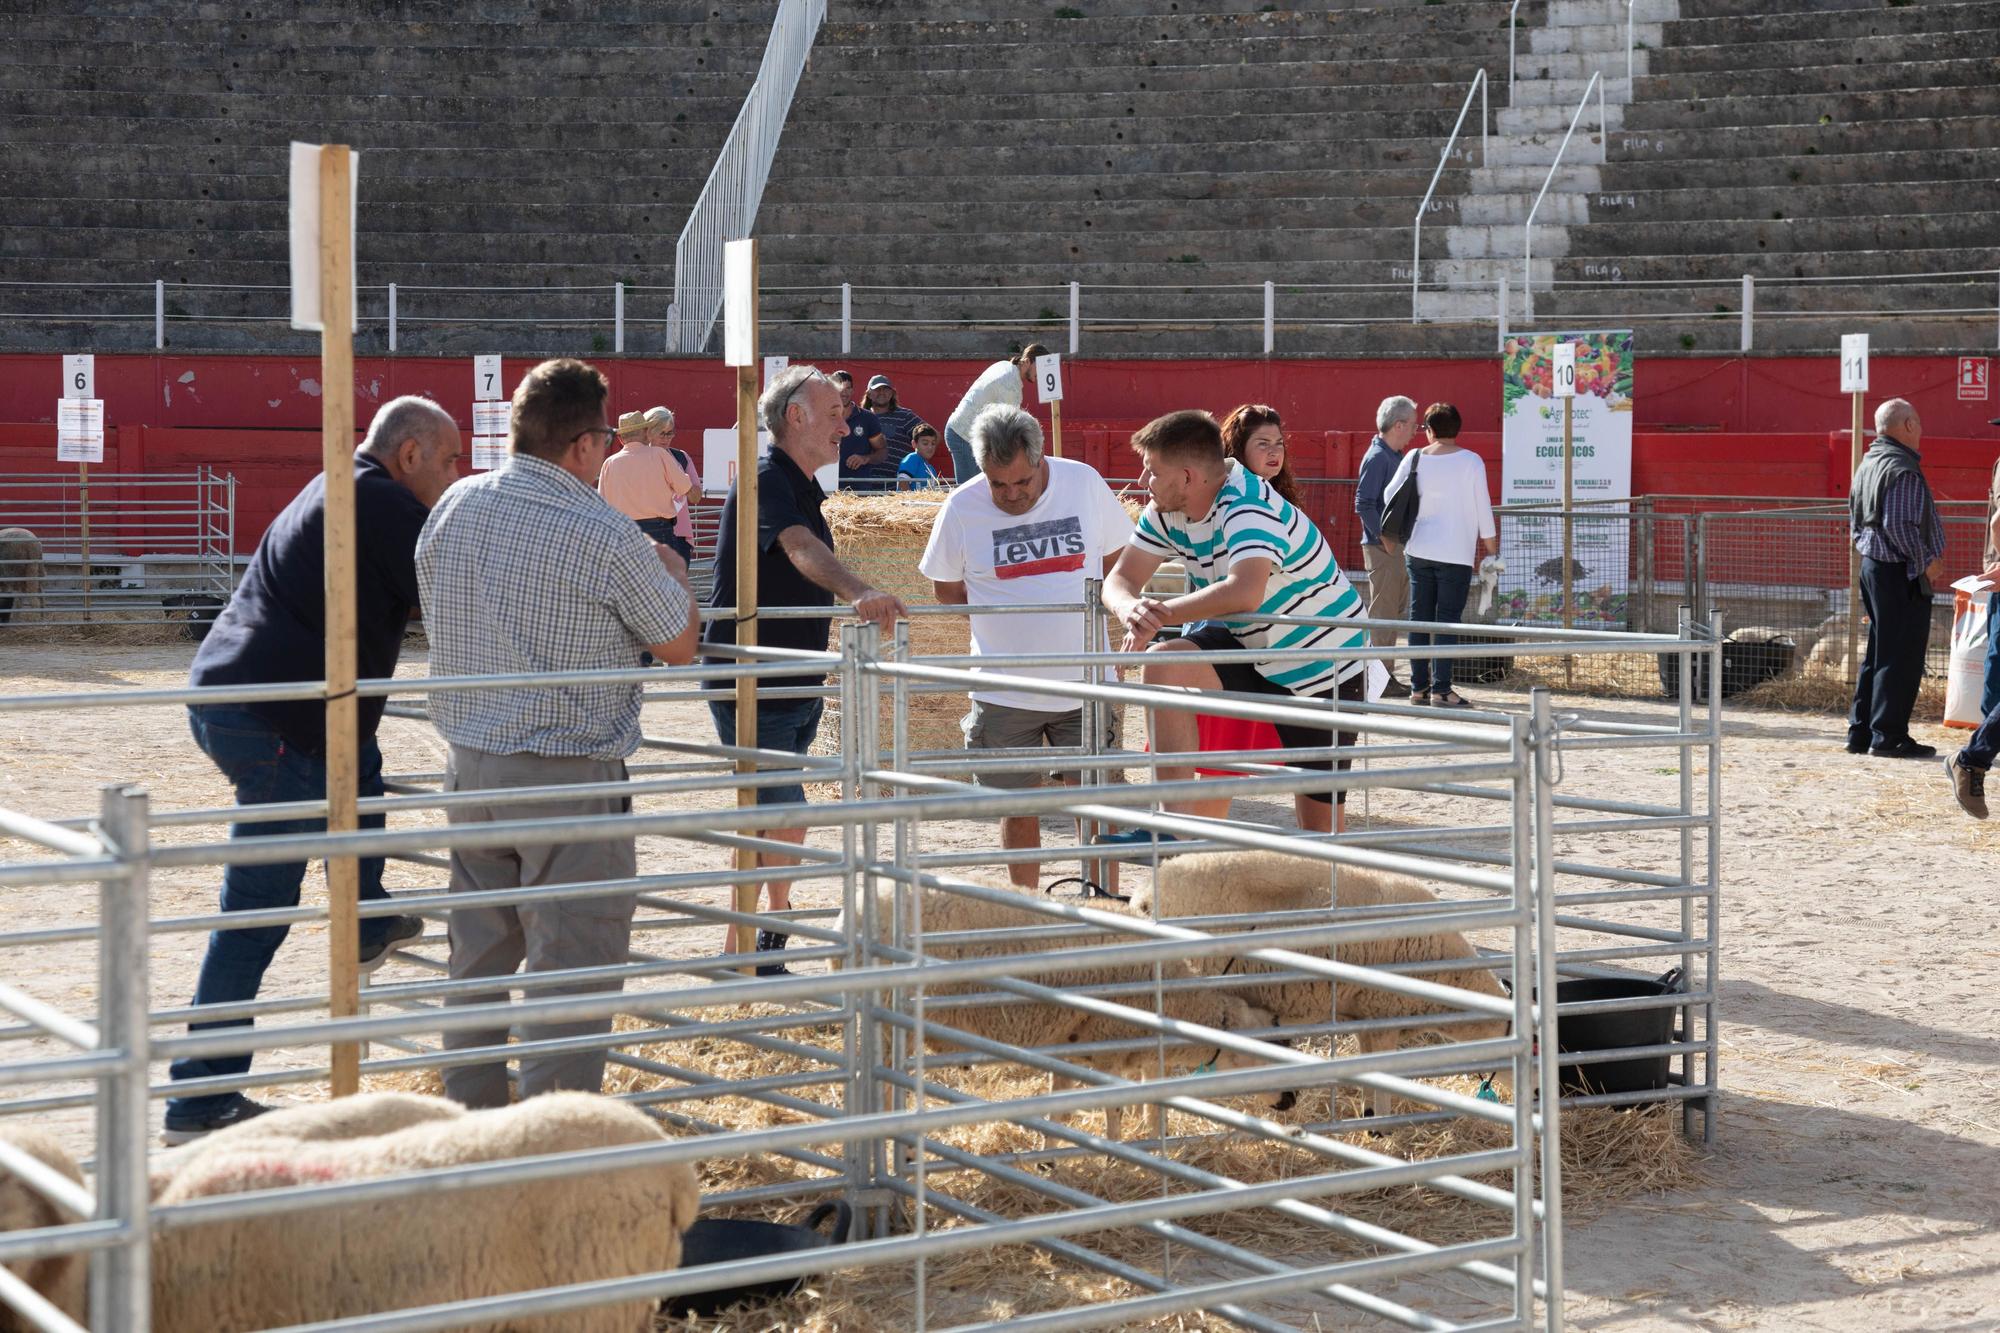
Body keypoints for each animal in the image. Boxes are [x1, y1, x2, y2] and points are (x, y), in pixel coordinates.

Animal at [836, 876, 1272, 1136]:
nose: (1286, 1102)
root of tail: (850, 913)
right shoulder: (1109, 1043)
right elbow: (1114, 1109)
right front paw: (1117, 1154)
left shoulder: (1069, 1043)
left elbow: (1061, 1110)